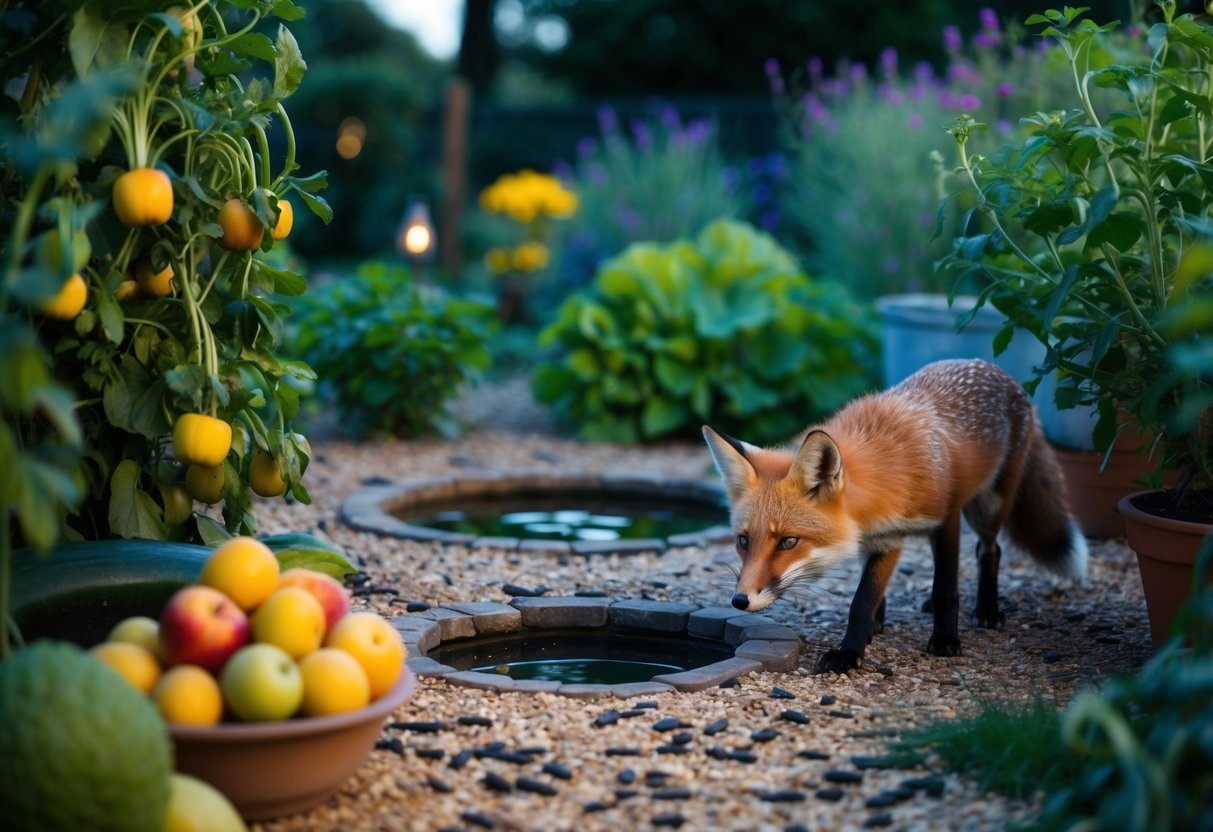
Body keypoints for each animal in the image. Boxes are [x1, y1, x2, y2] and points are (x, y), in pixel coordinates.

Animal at [702, 358, 1087, 674]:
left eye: (788, 542)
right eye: (743, 541)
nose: (739, 600)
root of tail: (999, 372)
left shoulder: (940, 520)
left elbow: (930, 588)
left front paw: (933, 641)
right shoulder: (879, 539)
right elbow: (871, 594)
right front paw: (869, 632)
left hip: (988, 508)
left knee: (989, 550)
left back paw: (986, 611)